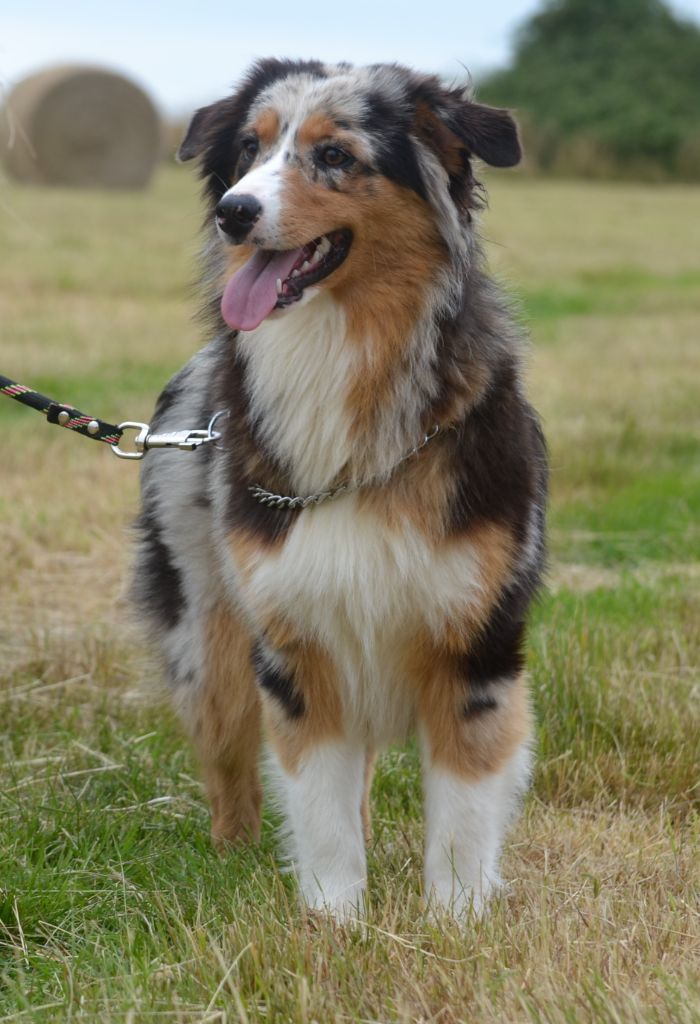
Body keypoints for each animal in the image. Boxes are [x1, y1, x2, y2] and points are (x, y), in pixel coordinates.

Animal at [130, 56, 548, 921]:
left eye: (335, 155)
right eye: (248, 149)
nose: (233, 211)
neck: (341, 358)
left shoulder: (476, 640)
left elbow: (462, 810)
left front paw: (454, 923)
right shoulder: (297, 636)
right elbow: (318, 806)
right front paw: (333, 921)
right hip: (208, 637)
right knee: (229, 760)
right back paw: (231, 859)